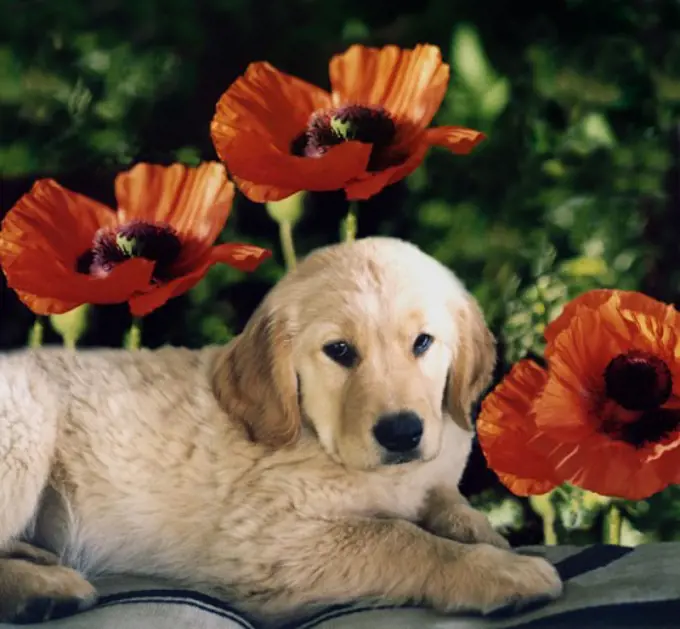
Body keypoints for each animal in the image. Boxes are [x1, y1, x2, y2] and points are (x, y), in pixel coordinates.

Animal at [0, 236, 564, 624]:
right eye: (339, 351)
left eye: (423, 343)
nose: (402, 433)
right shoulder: (272, 541)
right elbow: (400, 537)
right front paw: (497, 570)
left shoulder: (430, 476)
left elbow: (448, 505)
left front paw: (484, 534)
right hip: (24, 428)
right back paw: (44, 589)